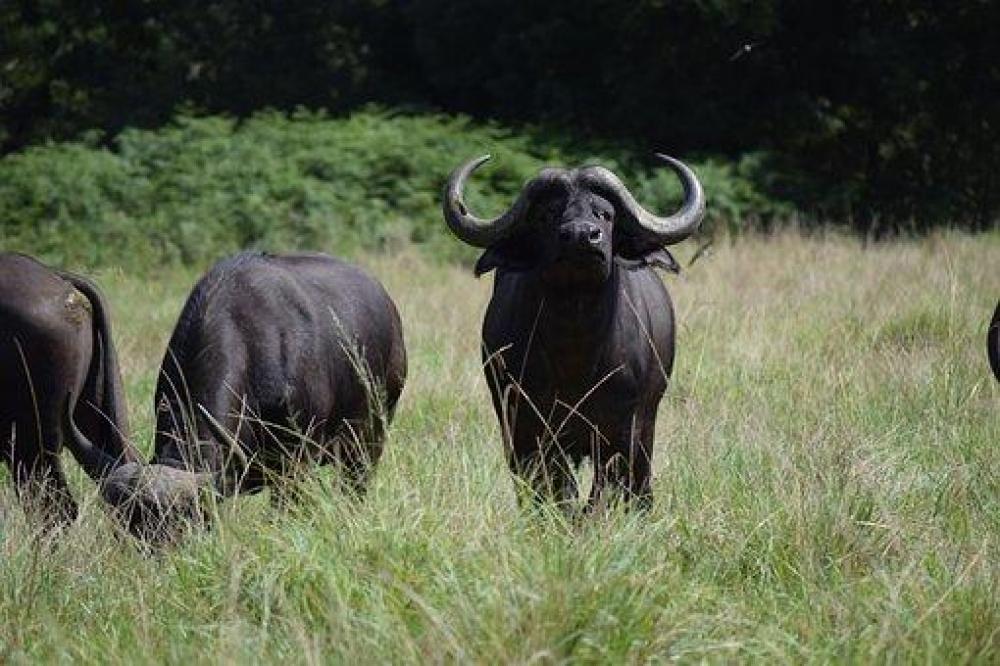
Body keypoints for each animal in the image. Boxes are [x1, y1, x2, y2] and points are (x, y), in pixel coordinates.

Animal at [444, 154, 704, 509]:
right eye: (548, 214)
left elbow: (604, 490)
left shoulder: (622, 429)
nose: (582, 236)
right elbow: (554, 489)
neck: (577, 347)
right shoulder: (529, 430)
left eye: (605, 214)